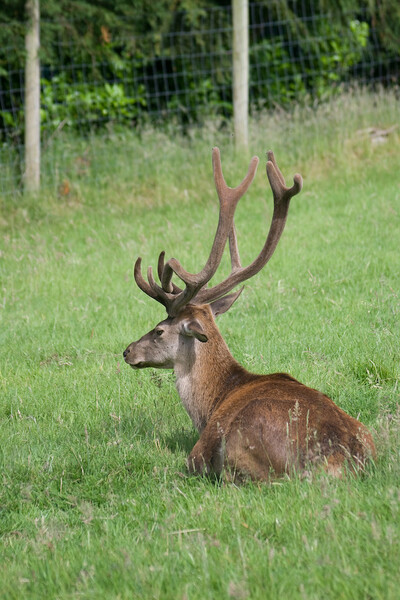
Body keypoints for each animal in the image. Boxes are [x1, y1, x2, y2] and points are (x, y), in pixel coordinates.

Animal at [123, 148, 376, 480]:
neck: (211, 403)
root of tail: (341, 461)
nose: (127, 351)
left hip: (245, 445)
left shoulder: (197, 452)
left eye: (159, 330)